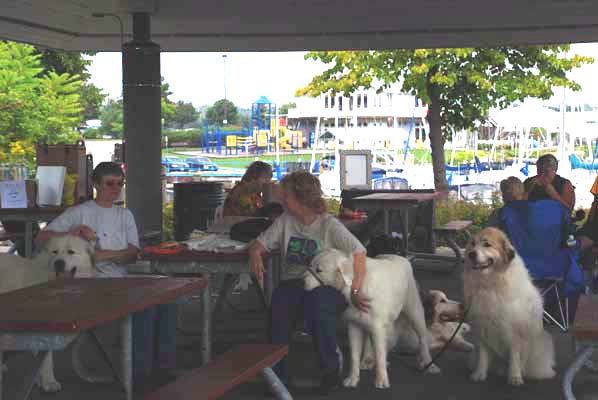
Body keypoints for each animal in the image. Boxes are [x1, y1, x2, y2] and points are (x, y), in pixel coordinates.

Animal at [0, 236, 95, 392]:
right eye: (54, 252)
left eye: (71, 252)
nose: (59, 263)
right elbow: (46, 358)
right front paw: (48, 381)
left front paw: (40, 379)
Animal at [304, 248, 440, 390]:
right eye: (310, 266)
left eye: (319, 270)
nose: (301, 281)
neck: (356, 285)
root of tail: (402, 257)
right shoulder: (354, 325)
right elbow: (354, 355)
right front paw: (353, 379)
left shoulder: (378, 327)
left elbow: (380, 353)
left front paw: (381, 380)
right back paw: (367, 360)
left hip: (414, 311)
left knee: (422, 338)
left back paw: (428, 363)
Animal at [464, 228, 556, 388]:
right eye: (472, 244)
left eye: (487, 244)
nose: (471, 254)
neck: (490, 284)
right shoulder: (481, 328)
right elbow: (482, 356)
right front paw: (479, 374)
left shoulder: (515, 332)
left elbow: (514, 356)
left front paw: (514, 377)